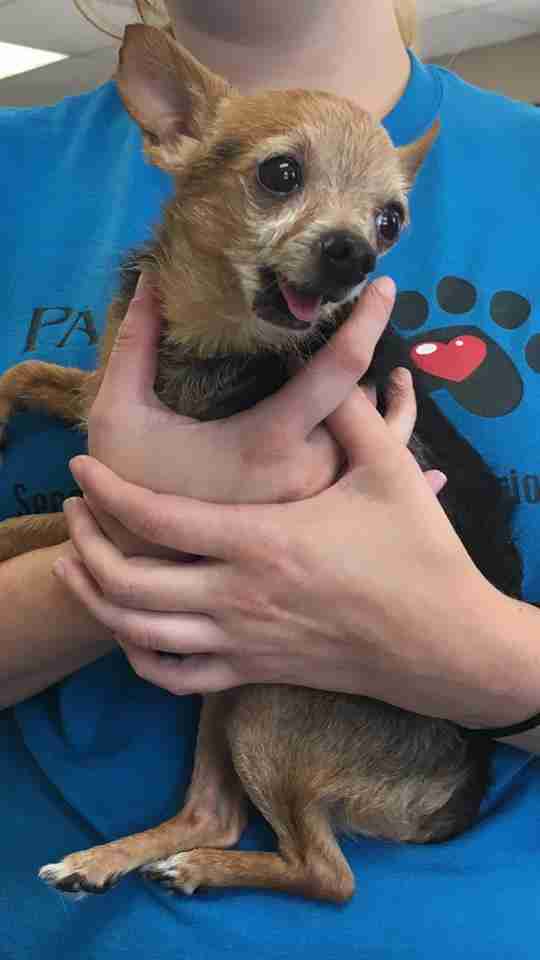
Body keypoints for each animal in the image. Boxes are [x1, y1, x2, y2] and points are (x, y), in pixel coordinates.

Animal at [1, 26, 524, 904]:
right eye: (280, 174)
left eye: (391, 221)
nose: (355, 254)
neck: (214, 334)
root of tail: (463, 780)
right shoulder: (103, 395)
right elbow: (29, 372)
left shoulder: (146, 508)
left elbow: (32, 525)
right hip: (234, 686)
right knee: (215, 813)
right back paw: (114, 861)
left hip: (274, 693)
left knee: (329, 875)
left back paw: (201, 869)